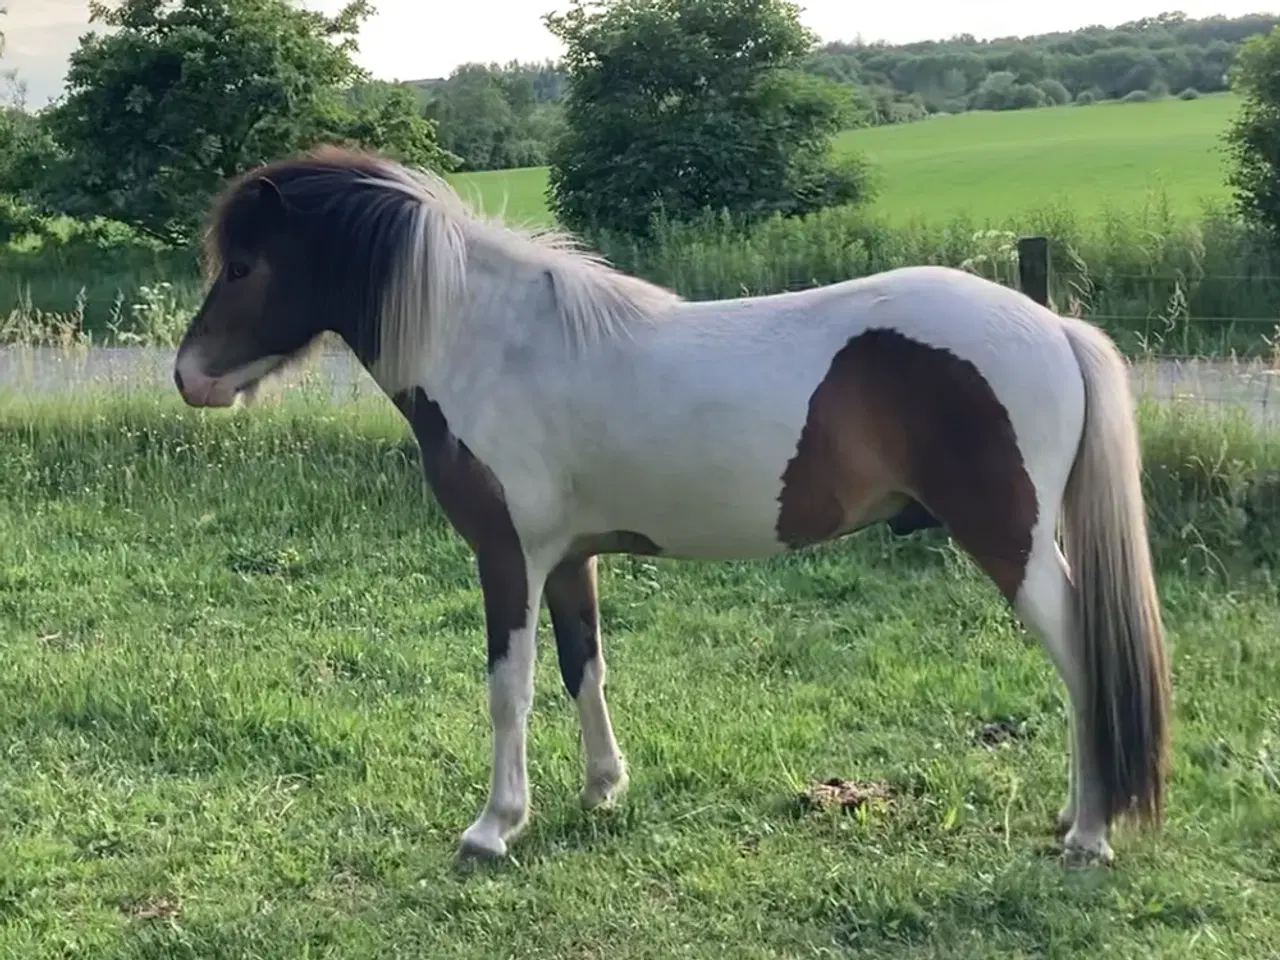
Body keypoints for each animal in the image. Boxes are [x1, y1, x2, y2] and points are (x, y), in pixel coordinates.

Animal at [175, 144, 1172, 870]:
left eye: (245, 267)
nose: (189, 377)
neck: (496, 346)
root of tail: (1053, 326)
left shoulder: (508, 556)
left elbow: (509, 687)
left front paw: (495, 825)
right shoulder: (568, 557)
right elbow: (583, 667)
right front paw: (601, 788)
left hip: (1013, 542)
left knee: (1086, 658)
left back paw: (1089, 833)